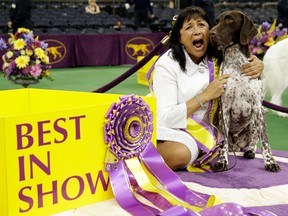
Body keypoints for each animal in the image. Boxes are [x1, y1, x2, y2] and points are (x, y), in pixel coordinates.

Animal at [209, 11, 282, 172]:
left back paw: (250, 151)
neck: (236, 62)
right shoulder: (225, 108)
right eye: (216, 21)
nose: (211, 33)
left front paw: (270, 162)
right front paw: (222, 161)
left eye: (229, 20)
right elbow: (223, 142)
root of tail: (236, 144)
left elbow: (265, 141)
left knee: (254, 141)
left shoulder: (258, 108)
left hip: (253, 123)